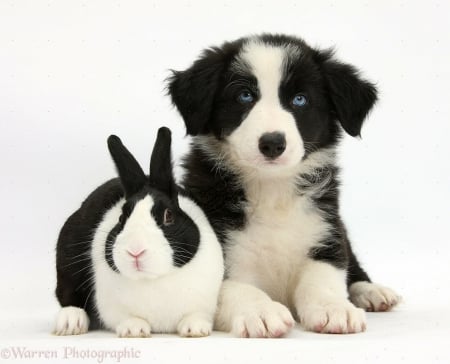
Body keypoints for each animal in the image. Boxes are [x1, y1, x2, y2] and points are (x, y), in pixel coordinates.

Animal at [53, 126, 224, 336]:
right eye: (121, 218)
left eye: (168, 216)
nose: (135, 251)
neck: (152, 279)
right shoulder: (112, 308)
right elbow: (126, 318)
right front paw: (133, 329)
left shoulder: (205, 303)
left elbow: (196, 315)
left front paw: (195, 329)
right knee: (68, 298)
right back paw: (70, 323)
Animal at [167, 34, 400, 338]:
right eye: (244, 96)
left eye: (300, 99)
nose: (272, 143)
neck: (272, 190)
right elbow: (235, 288)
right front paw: (261, 312)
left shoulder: (325, 230)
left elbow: (323, 276)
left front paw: (333, 308)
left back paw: (372, 292)